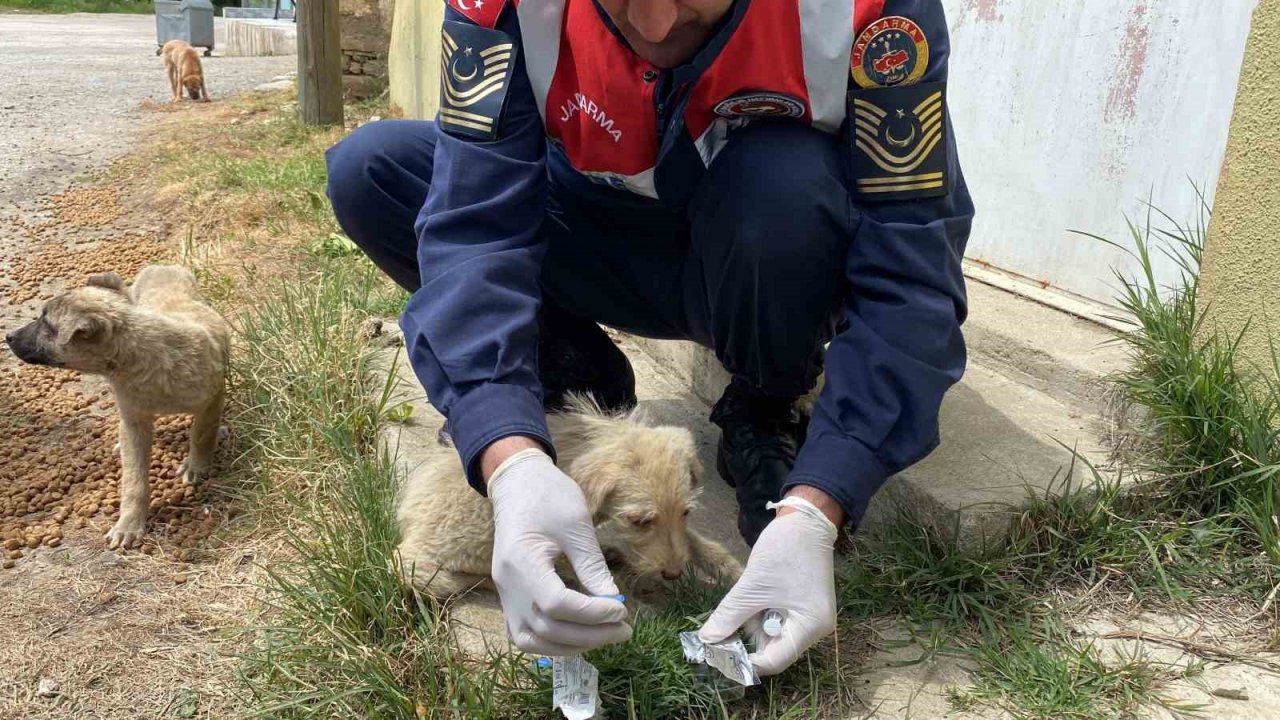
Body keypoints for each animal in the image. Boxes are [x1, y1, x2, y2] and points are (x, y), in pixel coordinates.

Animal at [394, 394, 747, 597]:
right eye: (638, 520)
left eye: (686, 512)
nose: (673, 574)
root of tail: (410, 544)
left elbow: (696, 542)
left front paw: (734, 571)